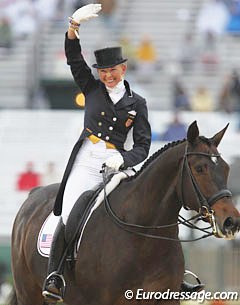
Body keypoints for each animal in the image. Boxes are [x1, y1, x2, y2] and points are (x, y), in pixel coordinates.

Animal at [7, 121, 240, 304]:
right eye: (200, 168)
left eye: (227, 168)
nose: (231, 221)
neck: (145, 235)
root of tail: (34, 194)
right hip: (29, 293)